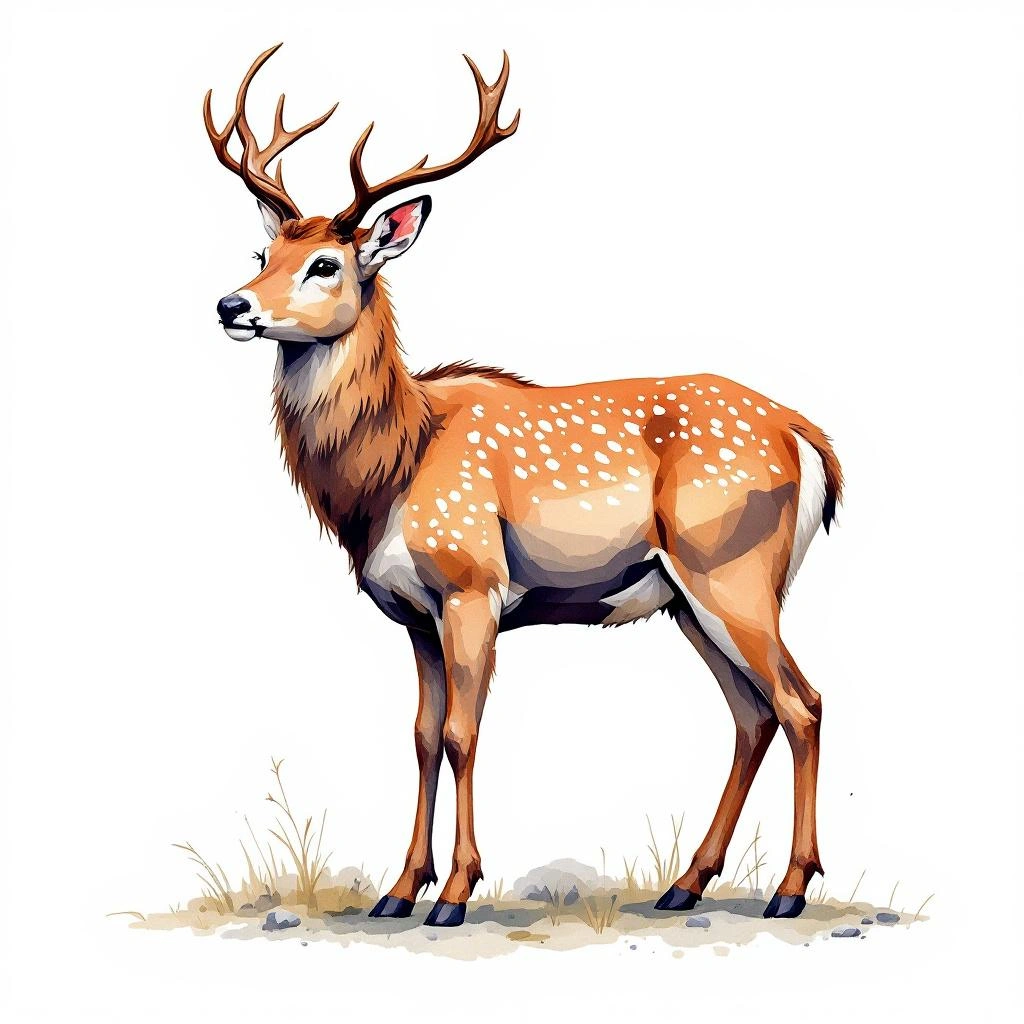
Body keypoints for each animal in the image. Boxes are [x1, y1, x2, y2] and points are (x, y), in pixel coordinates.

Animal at [205, 44, 844, 928]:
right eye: (261, 257)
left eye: (325, 263)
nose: (230, 305)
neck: (391, 473)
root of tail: (808, 439)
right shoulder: (414, 612)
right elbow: (419, 736)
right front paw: (399, 890)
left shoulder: (473, 583)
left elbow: (463, 735)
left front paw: (455, 893)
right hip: (689, 596)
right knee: (753, 715)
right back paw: (685, 883)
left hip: (733, 567)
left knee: (802, 702)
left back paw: (788, 888)